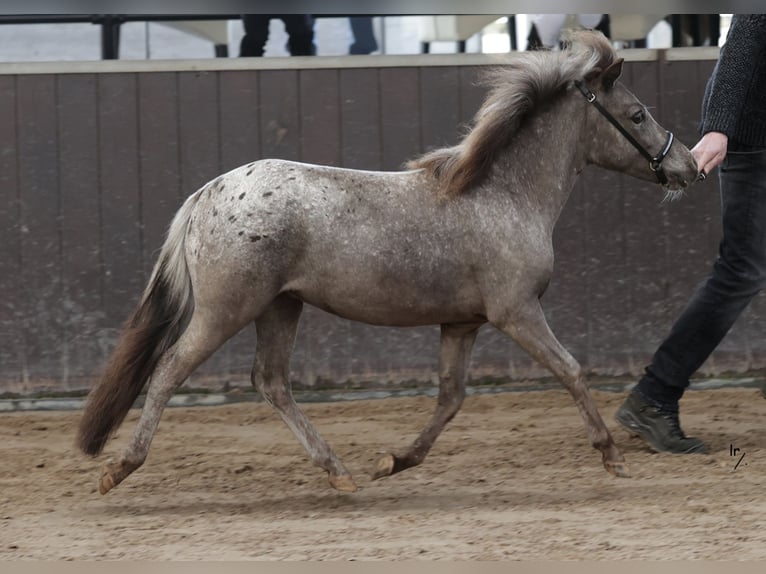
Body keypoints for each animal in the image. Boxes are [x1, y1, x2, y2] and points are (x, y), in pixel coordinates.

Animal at [78, 31, 704, 498]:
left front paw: (395, 461)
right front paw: (612, 457)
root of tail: (207, 193)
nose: (689, 166)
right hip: (225, 311)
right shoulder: (516, 312)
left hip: (281, 307)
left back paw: (340, 472)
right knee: (169, 371)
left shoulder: (463, 323)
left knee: (271, 382)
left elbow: (450, 399)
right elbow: (571, 371)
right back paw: (119, 469)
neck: (505, 195)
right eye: (637, 114)